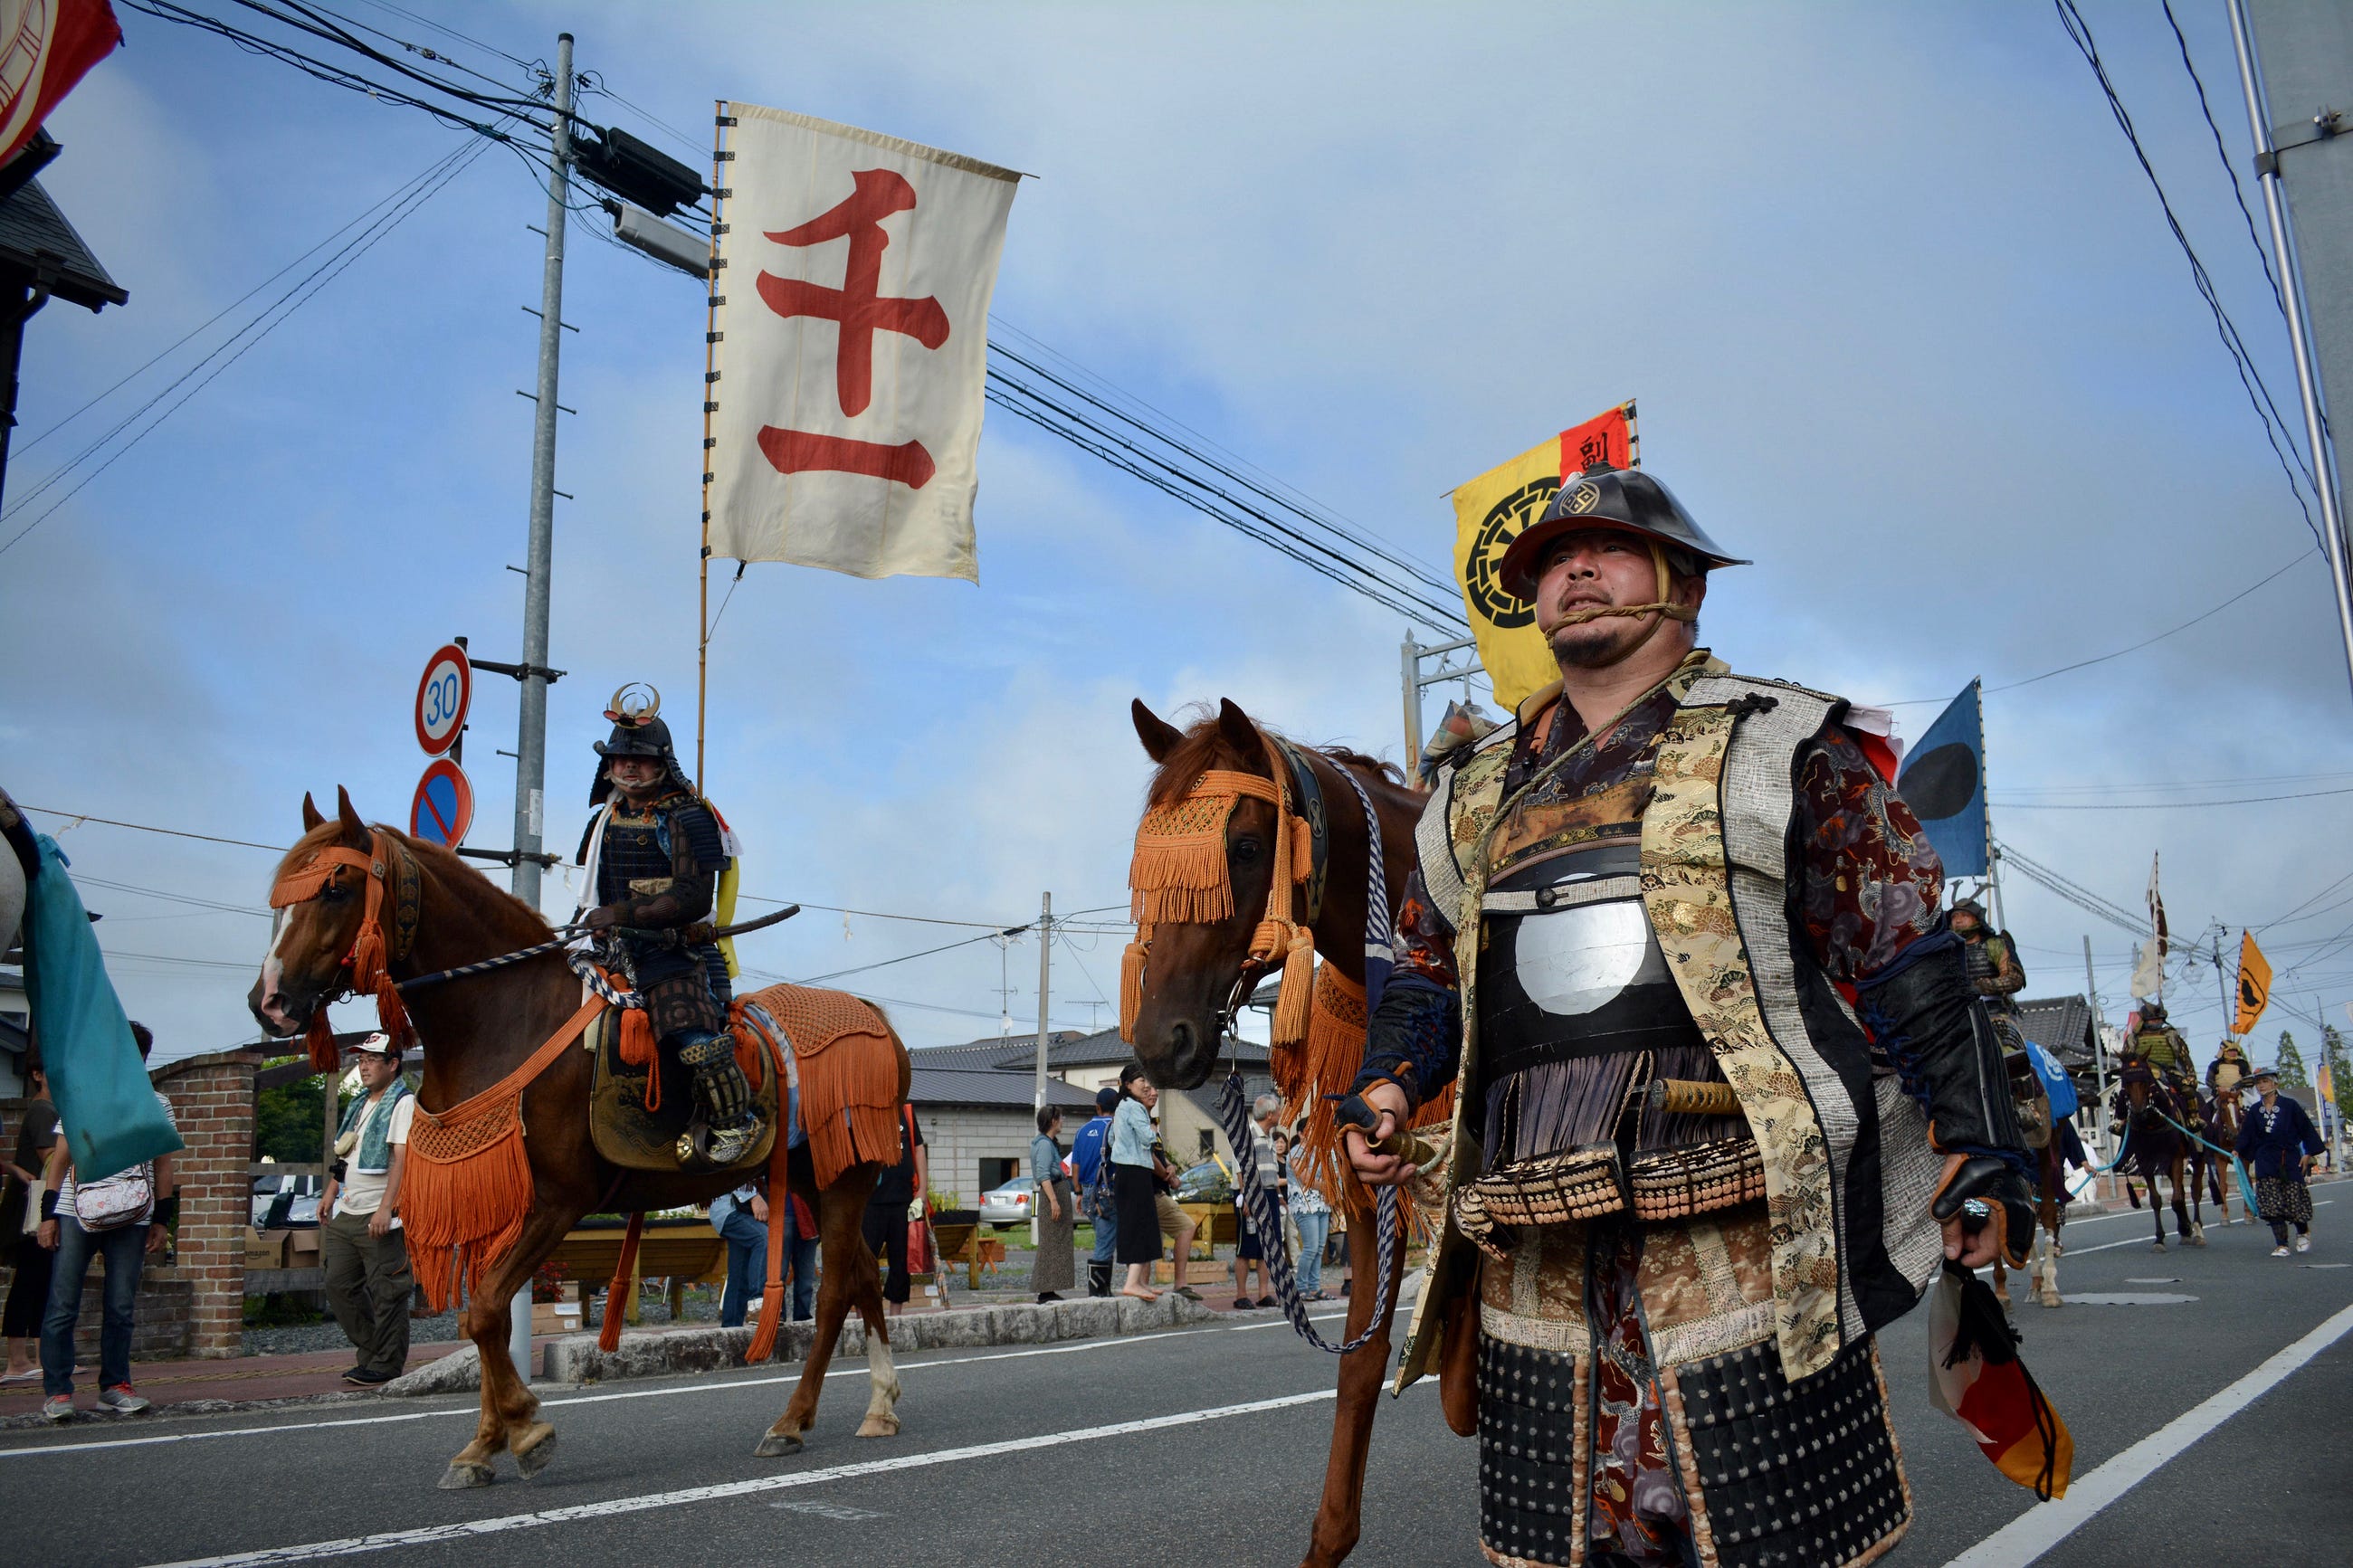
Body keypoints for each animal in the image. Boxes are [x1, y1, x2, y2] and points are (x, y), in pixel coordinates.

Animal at [250, 789, 908, 1495]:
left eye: (337, 888)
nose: (271, 1002)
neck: (504, 1017)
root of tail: (878, 1023)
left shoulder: (559, 1199)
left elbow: (487, 1309)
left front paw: (527, 1430)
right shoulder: (498, 1201)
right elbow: (482, 1316)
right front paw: (482, 1444)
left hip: (844, 1176)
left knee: (836, 1290)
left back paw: (791, 1420)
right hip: (820, 1176)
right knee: (862, 1276)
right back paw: (878, 1405)